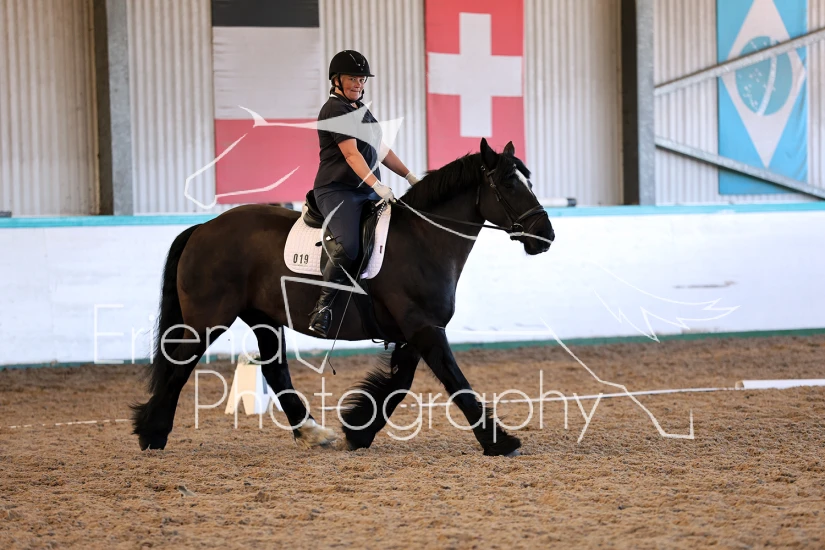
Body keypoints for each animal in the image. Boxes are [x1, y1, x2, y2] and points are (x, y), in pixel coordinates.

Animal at [131, 137, 555, 456]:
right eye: (510, 184)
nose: (545, 236)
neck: (422, 240)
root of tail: (203, 227)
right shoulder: (424, 327)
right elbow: (454, 380)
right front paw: (499, 442)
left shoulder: (414, 331)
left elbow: (399, 384)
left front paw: (358, 429)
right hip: (209, 318)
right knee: (180, 364)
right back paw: (152, 432)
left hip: (263, 317)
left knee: (274, 370)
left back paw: (312, 432)